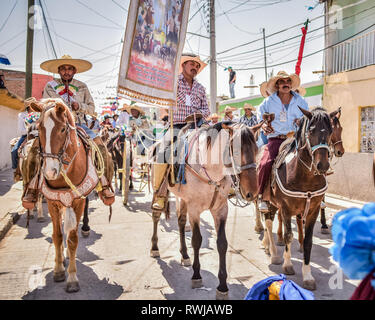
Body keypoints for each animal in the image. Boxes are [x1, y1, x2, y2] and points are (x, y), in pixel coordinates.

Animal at [30, 98, 101, 292]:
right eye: (39, 128)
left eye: (62, 129)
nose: (50, 172)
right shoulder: (52, 202)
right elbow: (57, 236)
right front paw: (59, 270)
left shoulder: (77, 201)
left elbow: (73, 239)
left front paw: (72, 278)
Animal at [150, 123, 258, 300]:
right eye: (235, 152)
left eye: (256, 150)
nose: (252, 193)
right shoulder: (195, 209)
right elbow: (196, 240)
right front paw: (196, 276)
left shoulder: (221, 210)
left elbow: (222, 244)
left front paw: (222, 286)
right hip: (159, 189)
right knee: (156, 215)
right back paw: (154, 248)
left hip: (183, 199)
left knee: (181, 222)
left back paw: (185, 255)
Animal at [262, 107, 340, 290]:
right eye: (310, 131)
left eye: (331, 131)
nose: (323, 165)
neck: (305, 177)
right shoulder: (285, 208)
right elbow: (289, 235)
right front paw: (288, 265)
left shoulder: (313, 210)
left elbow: (308, 241)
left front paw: (308, 275)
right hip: (269, 201)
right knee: (267, 221)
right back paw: (273, 253)